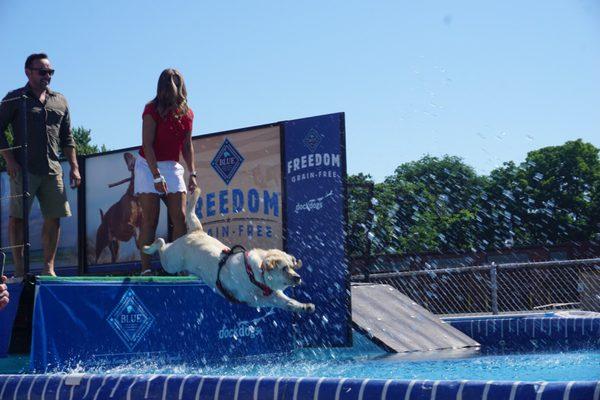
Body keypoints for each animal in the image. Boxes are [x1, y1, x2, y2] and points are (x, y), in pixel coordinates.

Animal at [142, 188, 316, 312]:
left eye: (292, 267)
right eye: (284, 268)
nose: (298, 277)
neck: (255, 272)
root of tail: (196, 231)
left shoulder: (274, 292)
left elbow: (287, 301)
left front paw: (303, 306)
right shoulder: (253, 299)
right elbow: (273, 301)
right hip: (171, 262)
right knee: (161, 243)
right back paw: (148, 248)